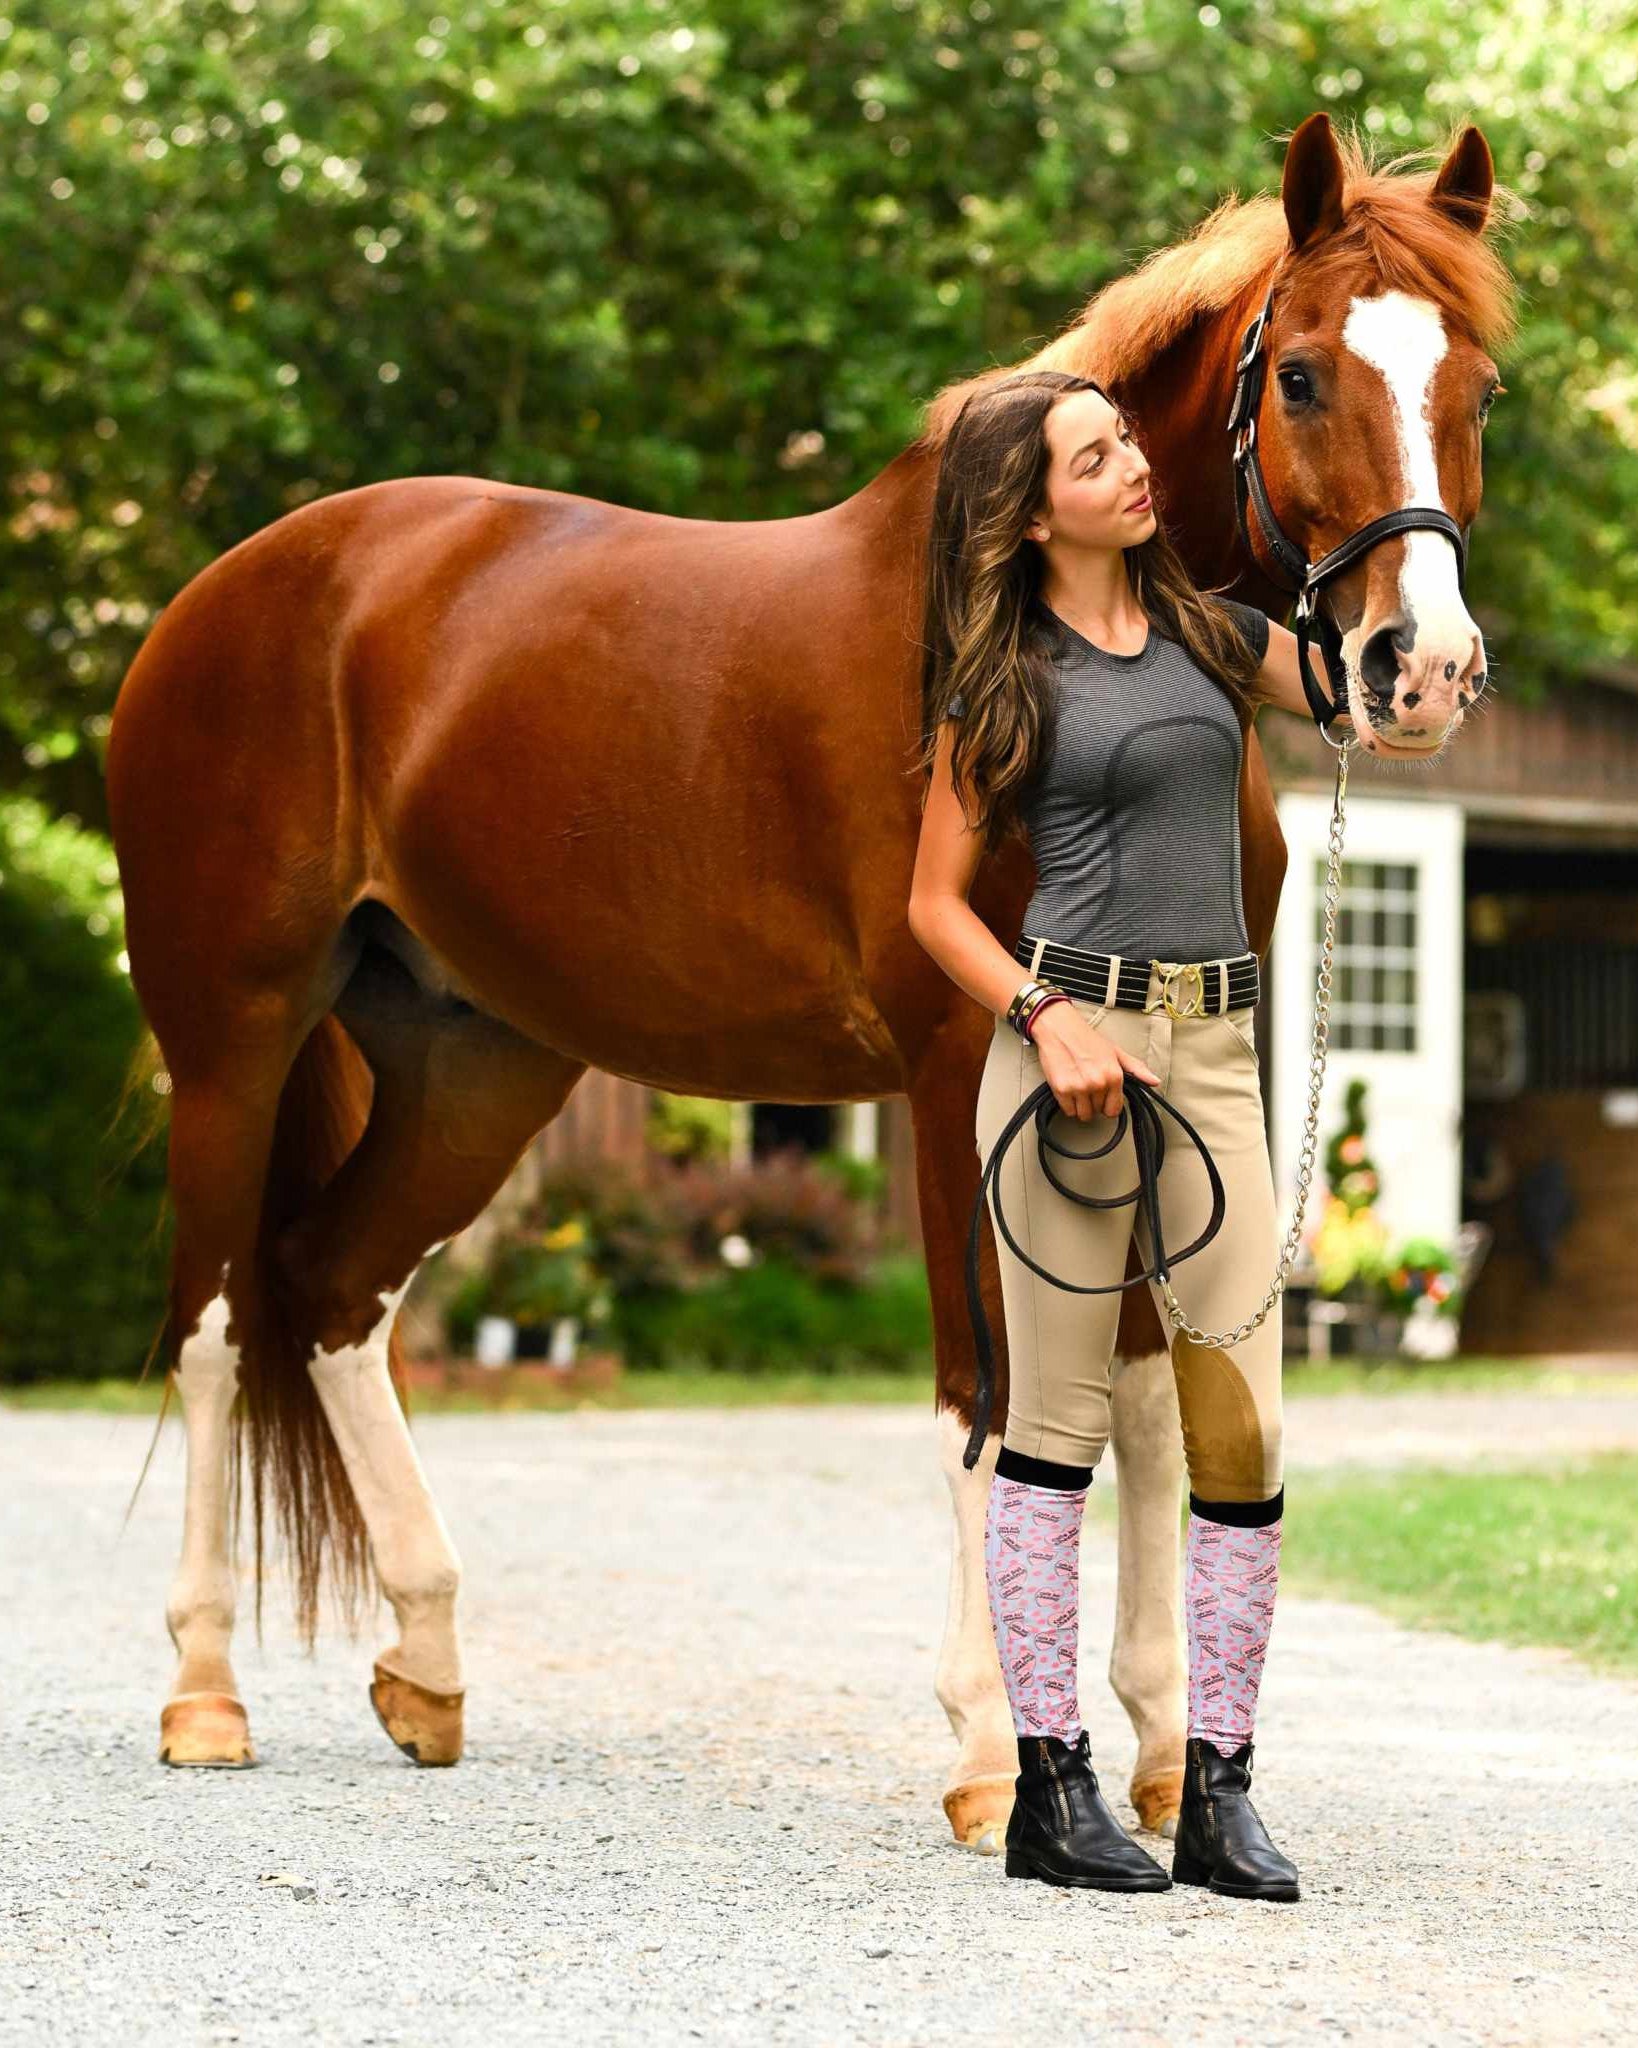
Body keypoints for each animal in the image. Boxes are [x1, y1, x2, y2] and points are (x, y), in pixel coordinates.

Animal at [105, 111, 1517, 1846]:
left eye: (1476, 389)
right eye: (1305, 373)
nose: (1418, 671)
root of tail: (227, 591)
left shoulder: (1150, 1082)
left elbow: (1142, 1400)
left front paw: (1156, 1748)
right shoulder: (965, 1071)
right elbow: (993, 1395)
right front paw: (993, 1759)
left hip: (474, 1065)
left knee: (329, 1292)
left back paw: (426, 1671)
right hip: (231, 1038)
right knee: (217, 1323)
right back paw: (204, 1696)